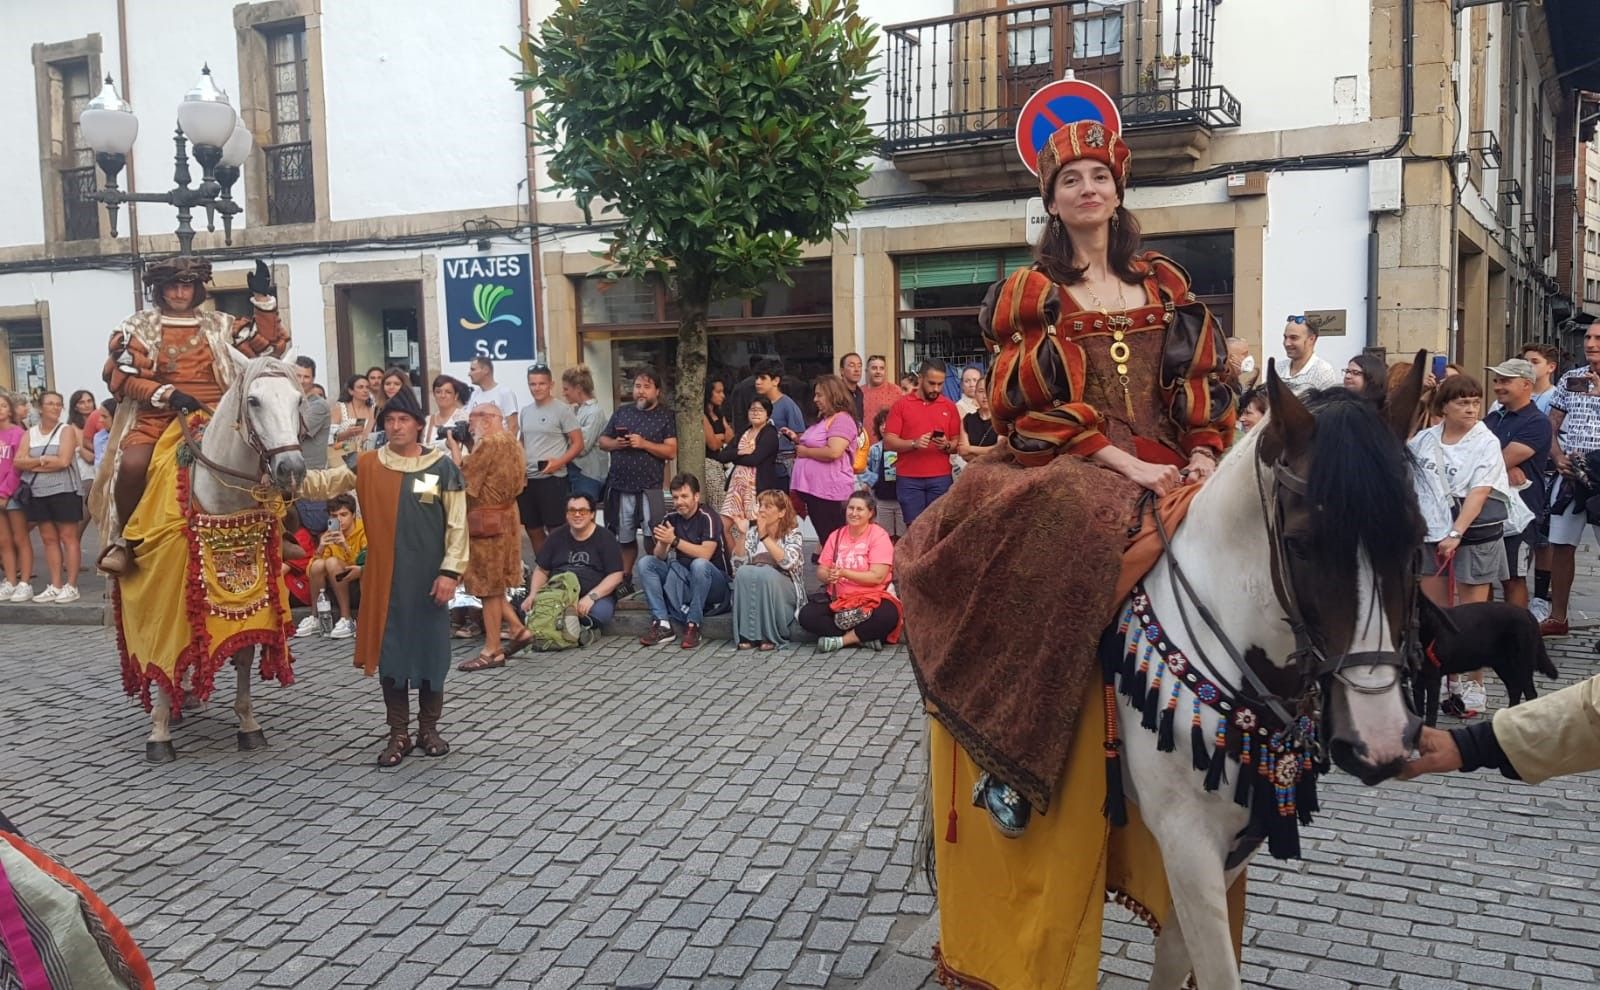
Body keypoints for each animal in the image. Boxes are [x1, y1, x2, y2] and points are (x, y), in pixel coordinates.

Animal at [142, 351, 310, 764]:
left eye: (298, 400)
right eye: (254, 401)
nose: (292, 470)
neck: (223, 501)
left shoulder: (256, 600)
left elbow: (245, 653)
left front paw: (248, 724)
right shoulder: (164, 595)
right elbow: (162, 649)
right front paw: (159, 730)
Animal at [1420, 594, 1555, 729]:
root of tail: (1527, 613)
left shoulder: (1432, 679)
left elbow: (1430, 712)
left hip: (1522, 665)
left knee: (1530, 693)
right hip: (1503, 666)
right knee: (1515, 689)